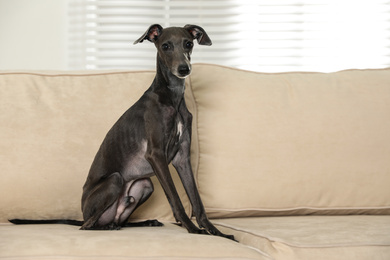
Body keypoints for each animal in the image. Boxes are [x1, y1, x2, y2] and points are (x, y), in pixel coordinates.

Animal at [9, 24, 232, 242]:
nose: (184, 69)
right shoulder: (156, 155)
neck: (172, 98)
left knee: (119, 220)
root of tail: (83, 213)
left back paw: (144, 222)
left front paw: (218, 233)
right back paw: (106, 227)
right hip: (115, 180)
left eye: (188, 43)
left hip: (145, 185)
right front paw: (193, 230)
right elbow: (176, 199)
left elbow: (197, 202)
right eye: (166, 46)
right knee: (87, 226)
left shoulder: (182, 158)